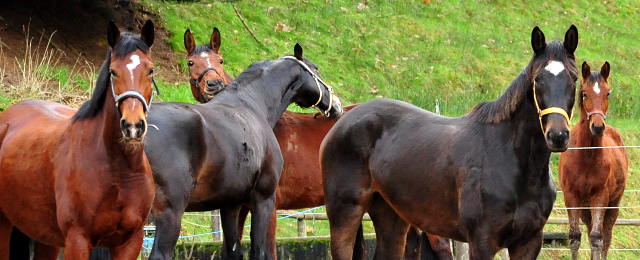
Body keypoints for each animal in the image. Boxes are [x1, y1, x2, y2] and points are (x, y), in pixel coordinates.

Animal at [0, 20, 157, 260]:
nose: (132, 126)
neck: (120, 171)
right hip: (3, 224)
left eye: (150, 70)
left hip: (46, 237)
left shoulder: (130, 243)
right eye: (113, 72)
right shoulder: (78, 241)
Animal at [147, 43, 342, 260]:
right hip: (170, 214)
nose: (336, 104)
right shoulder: (263, 200)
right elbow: (259, 251)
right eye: (315, 69)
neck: (250, 104)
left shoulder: (231, 205)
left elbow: (233, 251)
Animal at [322, 24, 576, 260]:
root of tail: (343, 119)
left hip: (391, 216)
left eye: (573, 79)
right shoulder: (482, 241)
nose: (558, 135)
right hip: (345, 212)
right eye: (538, 79)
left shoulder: (528, 243)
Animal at [556, 61, 628, 260]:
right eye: (584, 93)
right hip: (585, 208)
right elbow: (574, 238)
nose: (597, 127)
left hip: (613, 204)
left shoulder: (600, 197)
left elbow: (597, 239)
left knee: (606, 236)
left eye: (608, 93)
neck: (586, 157)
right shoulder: (571, 196)